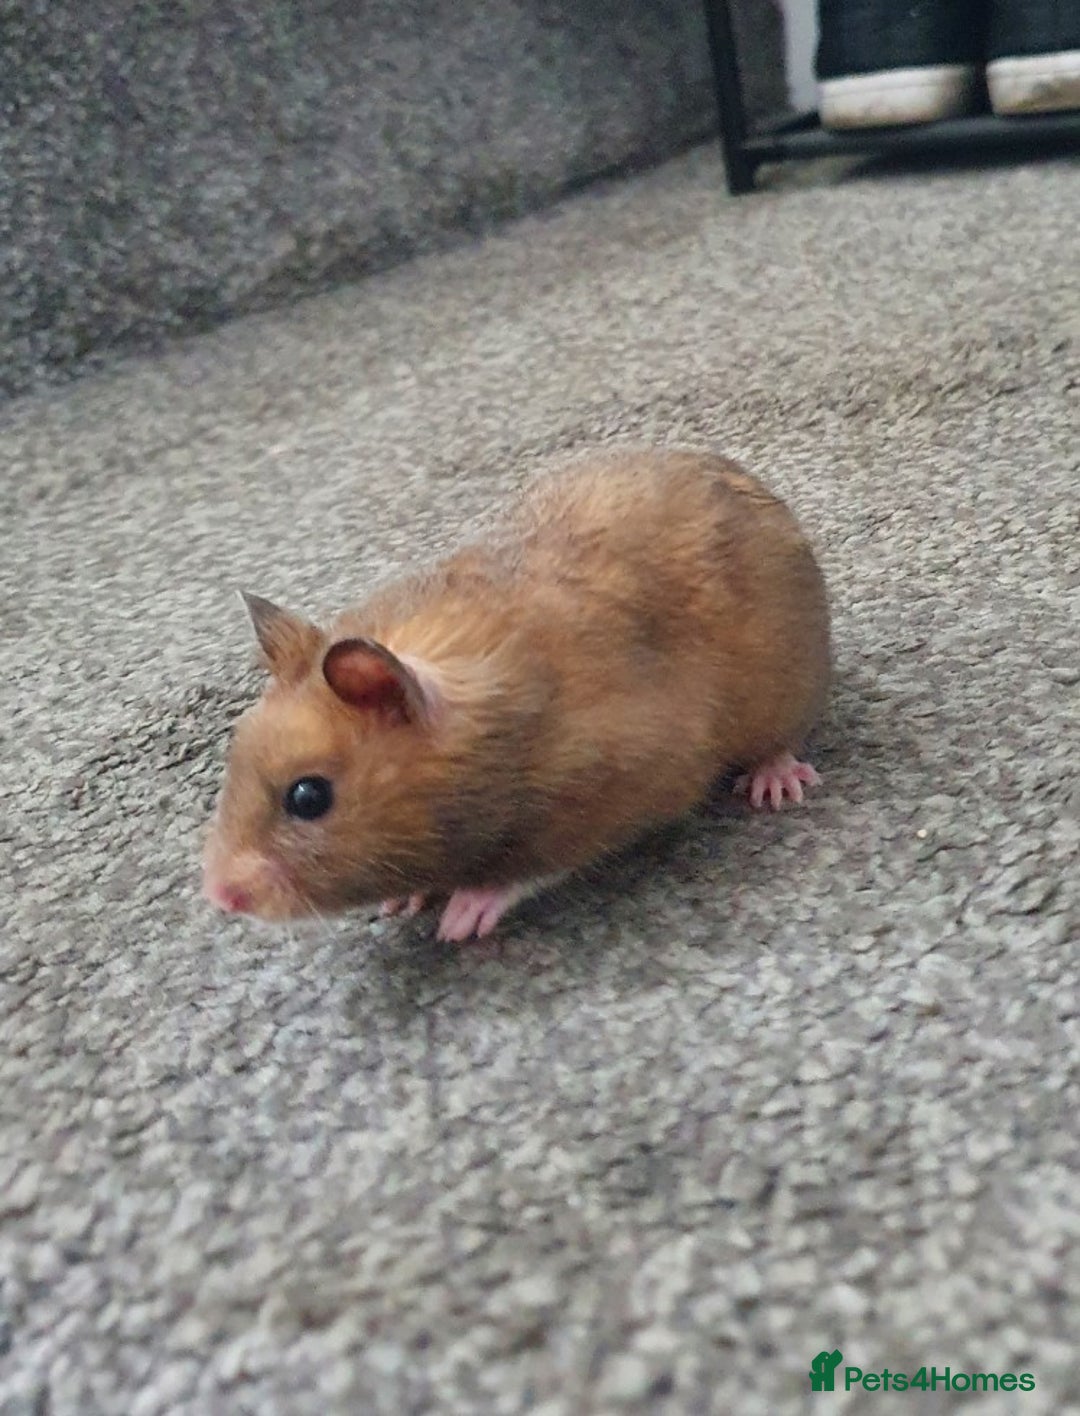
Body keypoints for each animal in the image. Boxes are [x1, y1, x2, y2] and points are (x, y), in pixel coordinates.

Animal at [202, 447, 831, 942]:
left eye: (308, 797)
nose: (219, 897)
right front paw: (404, 898)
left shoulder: (623, 785)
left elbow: (532, 868)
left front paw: (459, 919)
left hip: (786, 689)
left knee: (783, 741)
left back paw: (776, 785)